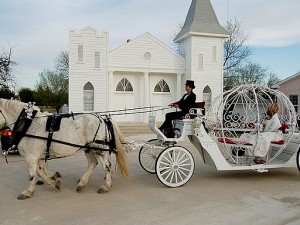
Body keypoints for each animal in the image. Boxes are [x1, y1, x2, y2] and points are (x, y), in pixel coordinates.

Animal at [0, 97, 130, 200]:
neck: (28, 124)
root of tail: (103, 119)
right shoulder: (39, 155)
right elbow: (40, 171)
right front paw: (54, 181)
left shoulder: (31, 156)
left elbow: (32, 175)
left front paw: (28, 192)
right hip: (88, 148)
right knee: (92, 163)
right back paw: (82, 183)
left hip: (99, 148)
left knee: (107, 166)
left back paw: (105, 185)